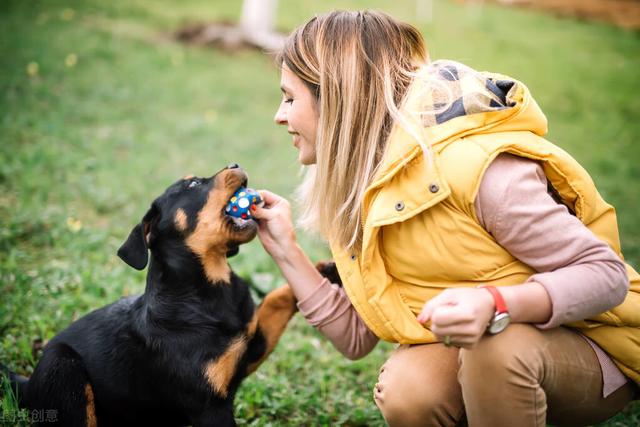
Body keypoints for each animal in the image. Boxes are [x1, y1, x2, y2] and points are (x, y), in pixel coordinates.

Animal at [1, 165, 302, 427]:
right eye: (193, 184)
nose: (235, 163)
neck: (209, 286)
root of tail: (28, 386)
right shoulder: (210, 406)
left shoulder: (250, 347)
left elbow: (276, 299)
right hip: (62, 367)